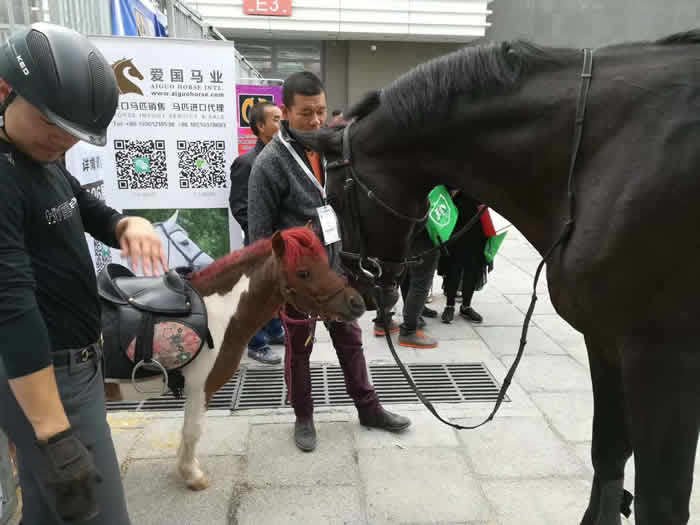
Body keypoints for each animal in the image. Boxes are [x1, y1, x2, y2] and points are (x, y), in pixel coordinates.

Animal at [104, 225, 366, 490]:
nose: (357, 303)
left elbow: (189, 432)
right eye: (303, 272)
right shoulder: (200, 388)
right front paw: (192, 475)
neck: (217, 314)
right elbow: (192, 431)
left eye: (325, 262)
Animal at [291, 29, 700, 525]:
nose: (354, 284)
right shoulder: (606, 341)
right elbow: (608, 454)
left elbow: (660, 500)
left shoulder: (662, 359)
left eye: (332, 196)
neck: (595, 159)